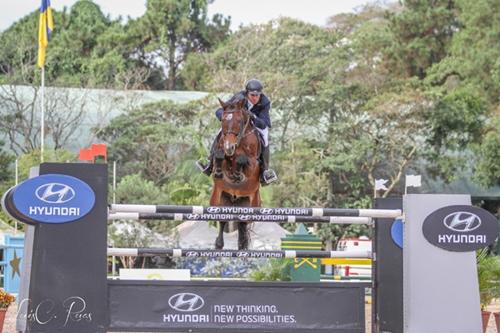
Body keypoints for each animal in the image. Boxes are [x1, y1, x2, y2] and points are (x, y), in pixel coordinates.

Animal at [209, 94, 262, 248]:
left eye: (239, 121)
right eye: (223, 121)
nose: (229, 147)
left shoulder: (253, 165)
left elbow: (242, 160)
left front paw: (238, 174)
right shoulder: (222, 155)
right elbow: (220, 156)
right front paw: (220, 171)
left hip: (250, 206)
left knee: (242, 227)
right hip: (219, 201)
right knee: (223, 222)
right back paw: (219, 244)